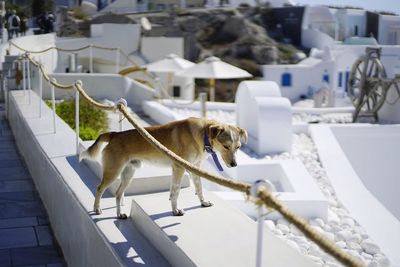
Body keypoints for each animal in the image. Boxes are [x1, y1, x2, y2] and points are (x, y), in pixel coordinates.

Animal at [78, 117, 247, 220]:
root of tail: (114, 134)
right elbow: (176, 191)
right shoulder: (179, 167)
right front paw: (175, 210)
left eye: (238, 147)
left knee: (119, 194)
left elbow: (198, 188)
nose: (234, 164)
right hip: (113, 172)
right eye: (226, 146)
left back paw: (120, 214)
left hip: (129, 173)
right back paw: (97, 209)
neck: (203, 135)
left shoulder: (194, 168)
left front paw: (203, 202)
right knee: (99, 188)